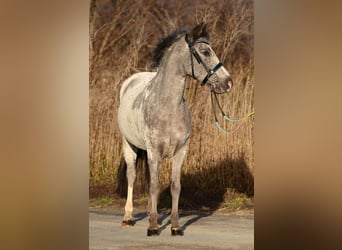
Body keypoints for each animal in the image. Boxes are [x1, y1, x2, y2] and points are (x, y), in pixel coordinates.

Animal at [117, 23, 232, 236]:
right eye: (205, 52)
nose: (228, 82)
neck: (167, 106)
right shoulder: (154, 151)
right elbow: (154, 186)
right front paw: (153, 226)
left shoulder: (180, 152)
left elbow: (175, 186)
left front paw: (176, 226)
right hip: (129, 145)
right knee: (132, 176)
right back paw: (128, 217)